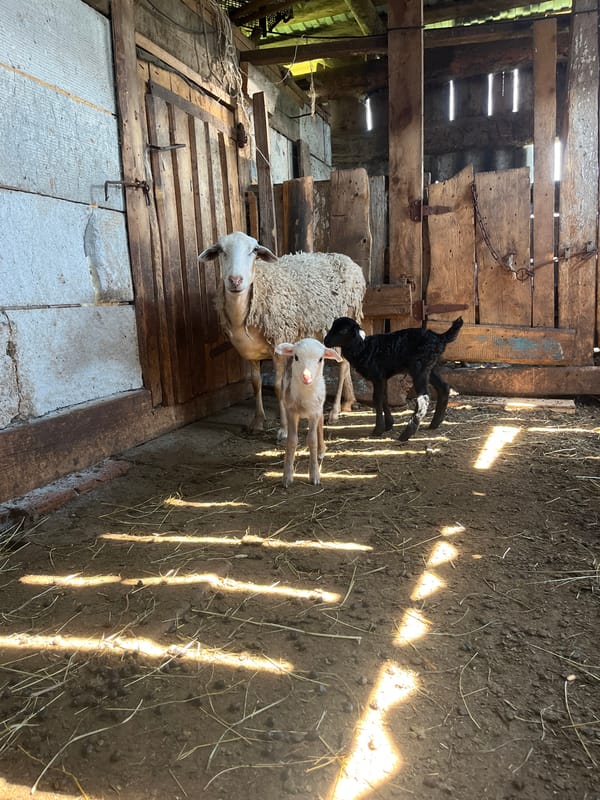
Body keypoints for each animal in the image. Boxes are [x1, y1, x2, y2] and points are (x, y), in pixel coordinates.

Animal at [198, 231, 366, 440]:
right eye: (221, 250)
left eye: (254, 250)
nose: (235, 280)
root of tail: (349, 261)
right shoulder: (251, 352)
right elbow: (256, 384)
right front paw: (257, 422)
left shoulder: (278, 345)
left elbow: (279, 386)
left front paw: (284, 429)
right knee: (346, 363)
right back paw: (348, 402)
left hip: (341, 326)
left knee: (342, 366)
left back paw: (334, 413)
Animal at [274, 338, 343, 487]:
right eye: (296, 357)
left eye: (321, 359)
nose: (306, 377)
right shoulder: (291, 411)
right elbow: (292, 440)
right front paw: (287, 476)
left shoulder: (315, 412)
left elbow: (312, 440)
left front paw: (314, 474)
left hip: (319, 405)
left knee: (320, 424)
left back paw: (321, 451)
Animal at [324, 316, 464, 441]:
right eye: (332, 326)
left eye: (343, 330)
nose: (325, 341)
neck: (364, 348)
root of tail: (440, 338)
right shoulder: (383, 377)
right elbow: (385, 398)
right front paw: (389, 424)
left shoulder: (378, 376)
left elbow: (377, 399)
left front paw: (378, 430)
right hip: (430, 366)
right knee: (444, 387)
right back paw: (434, 423)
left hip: (420, 367)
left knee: (424, 398)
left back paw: (407, 433)